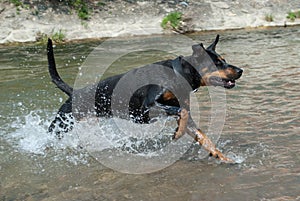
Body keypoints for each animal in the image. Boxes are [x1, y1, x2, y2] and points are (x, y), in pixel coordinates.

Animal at [47, 35, 244, 162]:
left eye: (224, 59)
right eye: (217, 63)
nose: (240, 70)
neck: (178, 75)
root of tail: (74, 92)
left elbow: (203, 137)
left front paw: (223, 157)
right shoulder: (146, 109)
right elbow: (182, 111)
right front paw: (177, 133)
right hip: (61, 123)